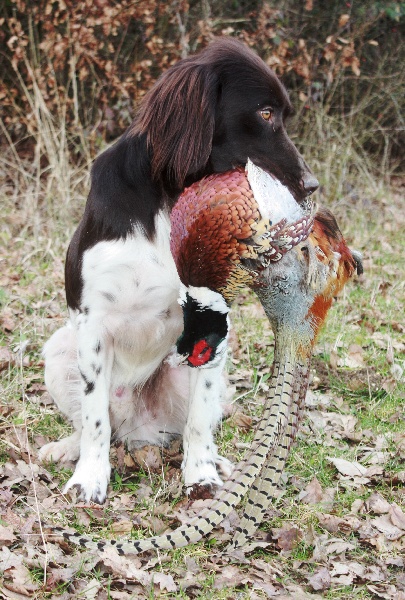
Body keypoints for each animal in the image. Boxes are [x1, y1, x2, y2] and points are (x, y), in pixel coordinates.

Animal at [38, 37, 316, 504]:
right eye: (265, 113)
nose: (312, 186)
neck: (171, 199)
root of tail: (139, 432)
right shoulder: (92, 323)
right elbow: (94, 421)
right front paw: (90, 478)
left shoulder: (213, 323)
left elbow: (200, 420)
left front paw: (201, 475)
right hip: (60, 349)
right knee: (92, 423)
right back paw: (67, 449)